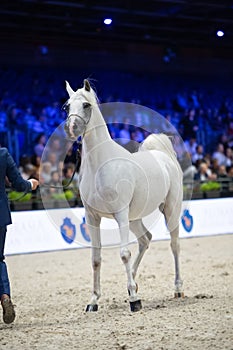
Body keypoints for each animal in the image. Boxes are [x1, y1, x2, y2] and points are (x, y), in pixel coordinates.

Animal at [63, 80, 184, 312]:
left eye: (86, 105)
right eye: (66, 106)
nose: (71, 128)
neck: (101, 164)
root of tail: (164, 156)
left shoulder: (120, 214)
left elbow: (124, 254)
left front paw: (135, 301)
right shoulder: (92, 217)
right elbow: (96, 258)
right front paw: (93, 301)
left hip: (170, 209)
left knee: (174, 245)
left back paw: (177, 288)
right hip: (134, 218)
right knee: (146, 239)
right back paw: (133, 283)